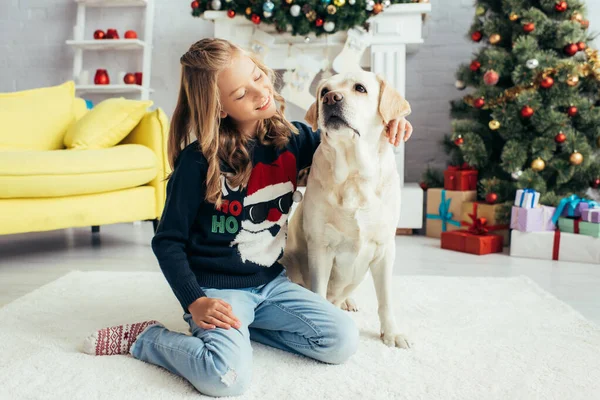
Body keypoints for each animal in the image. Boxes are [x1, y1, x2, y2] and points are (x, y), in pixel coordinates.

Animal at [278, 70, 410, 348]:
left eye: (360, 88)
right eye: (324, 90)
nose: (330, 98)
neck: (354, 175)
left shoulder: (385, 248)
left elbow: (386, 299)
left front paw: (391, 333)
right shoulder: (321, 247)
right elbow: (318, 289)